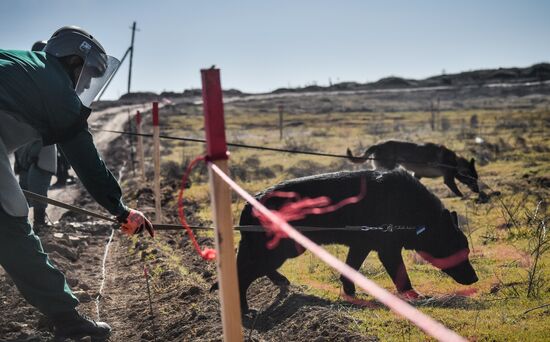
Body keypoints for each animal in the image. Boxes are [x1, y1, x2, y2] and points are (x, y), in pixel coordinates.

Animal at [233, 169, 478, 312]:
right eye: (461, 251)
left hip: (285, 249)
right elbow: (402, 277)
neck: (418, 217)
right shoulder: (388, 251)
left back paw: (280, 281)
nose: (475, 279)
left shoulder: (361, 246)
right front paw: (414, 297)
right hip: (279, 251)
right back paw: (244, 309)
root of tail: (249, 203)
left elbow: (350, 269)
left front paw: (350, 292)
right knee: (242, 276)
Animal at [348, 140, 480, 198]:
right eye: (473, 179)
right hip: (387, 167)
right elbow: (458, 192)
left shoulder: (417, 175)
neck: (455, 162)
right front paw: (464, 197)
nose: (478, 191)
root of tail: (378, 145)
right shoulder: (448, 179)